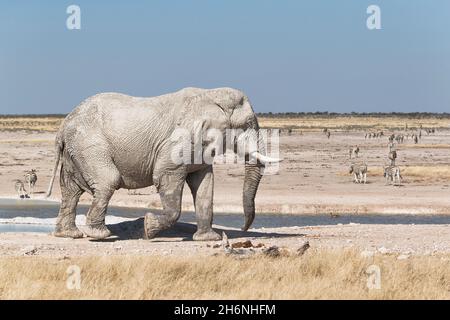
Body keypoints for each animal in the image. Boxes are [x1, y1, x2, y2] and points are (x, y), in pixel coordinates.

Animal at [44, 87, 278, 240]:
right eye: (247, 124)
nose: (245, 230)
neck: (211, 95)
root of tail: (63, 124)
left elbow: (204, 184)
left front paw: (208, 239)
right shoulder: (179, 141)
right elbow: (166, 175)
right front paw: (148, 229)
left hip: (76, 150)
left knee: (70, 191)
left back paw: (69, 235)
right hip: (89, 146)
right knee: (107, 181)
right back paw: (99, 235)